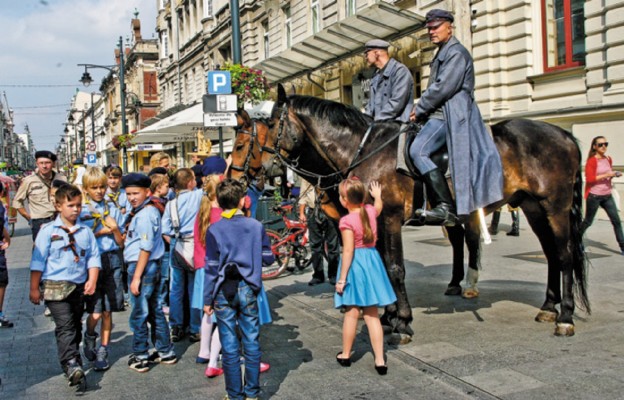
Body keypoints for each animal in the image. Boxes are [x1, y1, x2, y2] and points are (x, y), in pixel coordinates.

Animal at [230, 83, 588, 338]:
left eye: (245, 142)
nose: (239, 179)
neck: (363, 150)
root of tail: (564, 133)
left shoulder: (388, 218)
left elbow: (395, 268)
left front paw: (400, 320)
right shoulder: (371, 221)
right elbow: (382, 265)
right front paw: (388, 315)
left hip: (555, 208)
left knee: (565, 255)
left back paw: (566, 316)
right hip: (533, 207)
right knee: (551, 255)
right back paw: (549, 306)